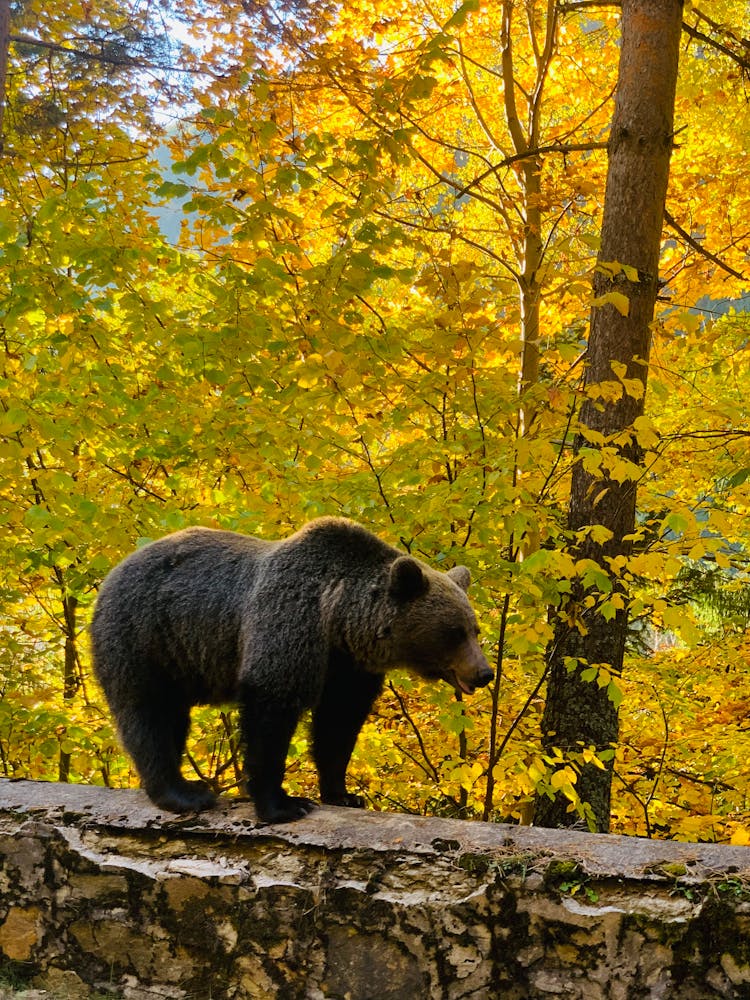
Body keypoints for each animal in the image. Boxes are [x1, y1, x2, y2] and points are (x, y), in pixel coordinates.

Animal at [91, 516, 494, 820]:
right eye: (454, 632)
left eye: (473, 629)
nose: (484, 673)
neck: (337, 621)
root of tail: (114, 572)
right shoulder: (289, 623)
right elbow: (272, 709)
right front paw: (284, 804)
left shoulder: (348, 666)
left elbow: (338, 723)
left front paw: (343, 793)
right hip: (143, 637)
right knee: (148, 714)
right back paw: (184, 792)